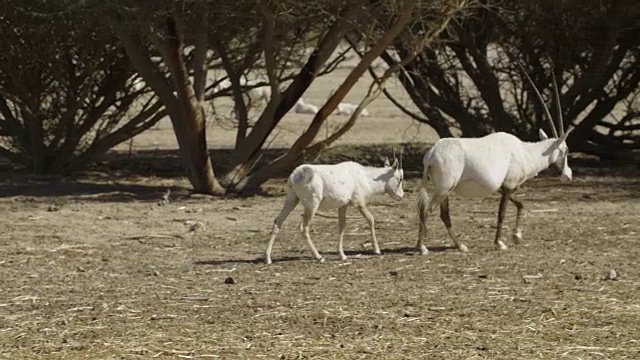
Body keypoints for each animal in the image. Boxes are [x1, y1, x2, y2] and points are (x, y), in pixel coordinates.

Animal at [262, 155, 402, 264]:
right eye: (400, 178)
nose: (401, 196)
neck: (365, 177)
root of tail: (295, 175)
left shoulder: (343, 205)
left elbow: (342, 226)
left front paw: (342, 255)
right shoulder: (359, 202)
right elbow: (371, 219)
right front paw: (377, 250)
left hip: (291, 200)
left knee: (278, 221)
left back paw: (268, 258)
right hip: (312, 205)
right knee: (303, 227)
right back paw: (319, 257)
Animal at [418, 65, 572, 256]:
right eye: (566, 150)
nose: (568, 176)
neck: (524, 152)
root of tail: (432, 153)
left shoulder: (502, 187)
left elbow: (520, 204)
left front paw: (517, 235)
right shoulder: (508, 186)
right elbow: (502, 213)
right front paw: (500, 242)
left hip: (444, 190)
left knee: (443, 215)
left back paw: (460, 246)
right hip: (444, 188)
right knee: (427, 211)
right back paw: (423, 247)